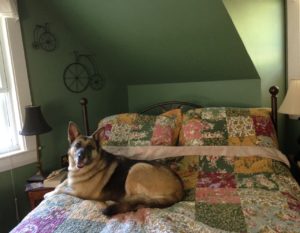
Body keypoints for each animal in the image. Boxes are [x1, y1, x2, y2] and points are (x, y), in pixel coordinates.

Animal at [45, 123, 183, 216]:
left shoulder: (80, 193)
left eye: (90, 147)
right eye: (77, 145)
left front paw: (48, 194)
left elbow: (62, 190)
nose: (80, 156)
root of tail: (179, 190)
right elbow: (61, 185)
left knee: (135, 201)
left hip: (136, 168)